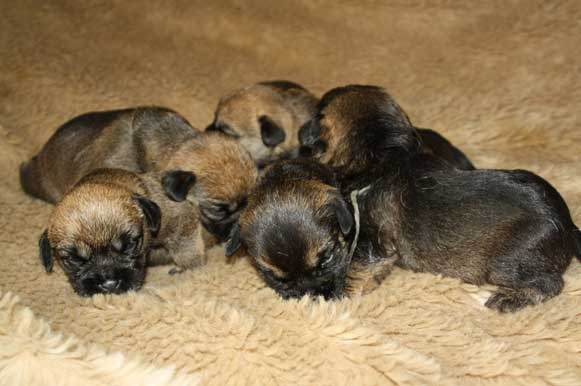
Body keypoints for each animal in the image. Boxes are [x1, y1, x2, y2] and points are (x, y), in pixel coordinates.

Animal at [39, 167, 204, 298]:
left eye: (129, 245)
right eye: (74, 259)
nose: (110, 285)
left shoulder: (180, 222)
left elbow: (186, 249)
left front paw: (188, 269)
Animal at [296, 83, 576, 310]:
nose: (300, 133)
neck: (384, 154)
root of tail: (569, 227)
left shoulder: (370, 242)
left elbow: (356, 269)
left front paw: (341, 295)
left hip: (505, 265)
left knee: (551, 283)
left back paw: (511, 298)